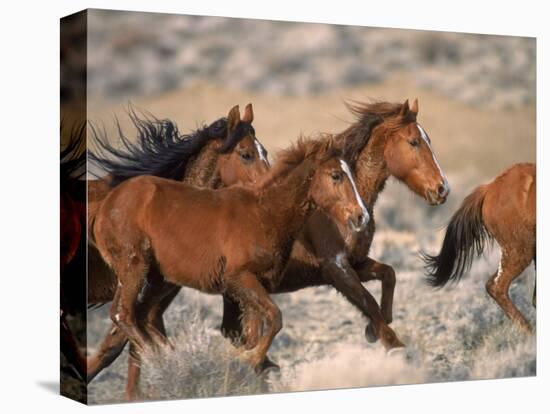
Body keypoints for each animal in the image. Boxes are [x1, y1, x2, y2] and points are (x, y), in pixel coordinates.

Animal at [87, 102, 272, 396]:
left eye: (265, 151)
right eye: (246, 154)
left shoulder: (160, 291)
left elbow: (131, 342)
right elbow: (122, 342)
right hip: (133, 269)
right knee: (121, 315)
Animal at [222, 98, 450, 360]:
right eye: (414, 142)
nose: (443, 188)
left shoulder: (355, 262)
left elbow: (388, 274)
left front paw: (374, 328)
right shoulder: (335, 267)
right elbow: (368, 301)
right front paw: (392, 343)